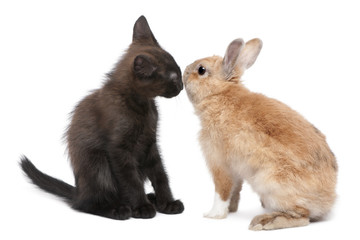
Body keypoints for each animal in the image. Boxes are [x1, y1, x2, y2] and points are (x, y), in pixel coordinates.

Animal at [20, 15, 183, 220]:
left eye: (179, 71)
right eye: (174, 77)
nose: (182, 85)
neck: (142, 106)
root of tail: (79, 192)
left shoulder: (150, 144)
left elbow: (160, 174)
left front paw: (168, 203)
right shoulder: (118, 149)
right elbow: (131, 180)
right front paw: (142, 207)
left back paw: (150, 198)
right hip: (97, 163)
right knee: (87, 204)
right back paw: (119, 208)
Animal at [183, 38, 338, 230]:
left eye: (201, 70)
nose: (184, 71)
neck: (219, 95)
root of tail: (327, 201)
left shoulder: (220, 163)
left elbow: (222, 191)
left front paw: (213, 215)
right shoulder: (236, 172)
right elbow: (235, 190)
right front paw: (231, 210)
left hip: (271, 183)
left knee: (302, 217)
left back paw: (264, 222)